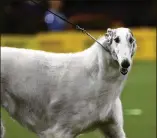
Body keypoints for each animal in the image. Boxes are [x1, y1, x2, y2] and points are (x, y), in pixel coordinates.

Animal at [0, 27, 136, 137]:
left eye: (131, 40)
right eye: (116, 39)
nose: (125, 63)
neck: (97, 75)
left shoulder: (113, 127)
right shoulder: (61, 130)